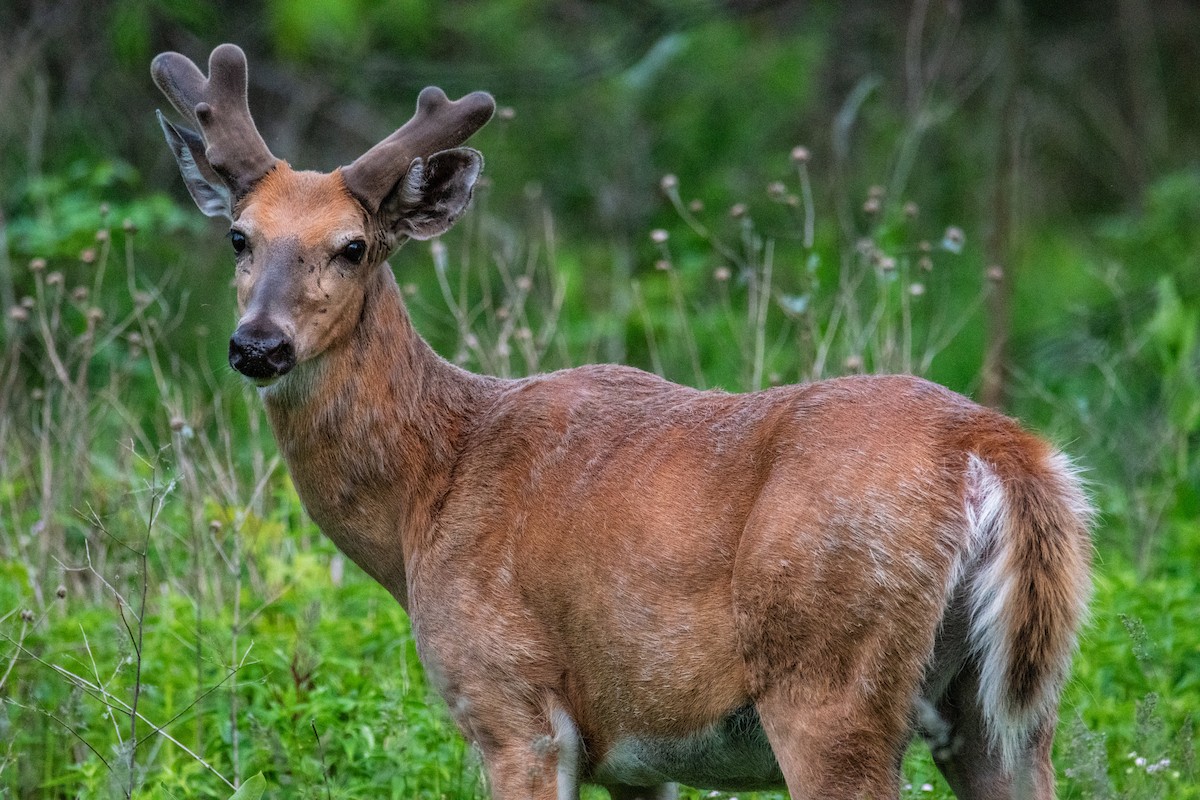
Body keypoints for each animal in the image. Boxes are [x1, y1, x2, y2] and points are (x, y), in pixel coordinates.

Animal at [151, 44, 1092, 800]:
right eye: (239, 238)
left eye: (352, 247)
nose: (258, 345)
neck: (427, 494)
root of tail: (997, 450)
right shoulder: (637, 761)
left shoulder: (512, 705)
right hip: (1002, 711)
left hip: (831, 684)